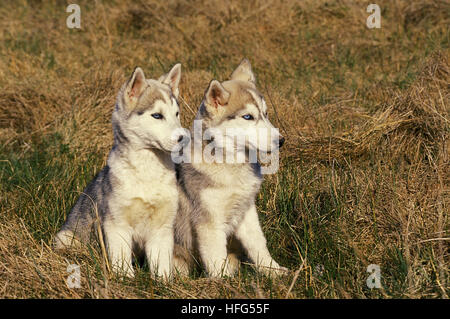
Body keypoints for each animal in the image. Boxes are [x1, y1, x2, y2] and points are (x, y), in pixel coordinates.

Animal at [54, 63, 186, 278]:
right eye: (157, 115)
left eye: (177, 114)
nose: (185, 138)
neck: (147, 172)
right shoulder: (116, 223)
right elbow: (121, 256)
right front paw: (125, 277)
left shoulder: (162, 227)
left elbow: (161, 262)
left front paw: (164, 281)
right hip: (66, 237)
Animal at [174, 59, 286, 278]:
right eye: (248, 117)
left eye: (266, 113)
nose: (281, 141)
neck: (232, 166)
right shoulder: (209, 221)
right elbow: (215, 255)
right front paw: (223, 280)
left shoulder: (246, 210)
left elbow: (258, 243)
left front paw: (273, 270)